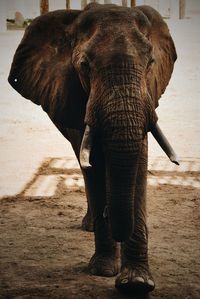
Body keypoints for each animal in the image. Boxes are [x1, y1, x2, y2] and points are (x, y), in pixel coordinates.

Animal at [8, 2, 179, 296]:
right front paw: (103, 270)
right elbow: (95, 162)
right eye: (84, 66)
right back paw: (90, 226)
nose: (111, 215)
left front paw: (136, 282)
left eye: (151, 63)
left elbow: (139, 162)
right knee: (82, 159)